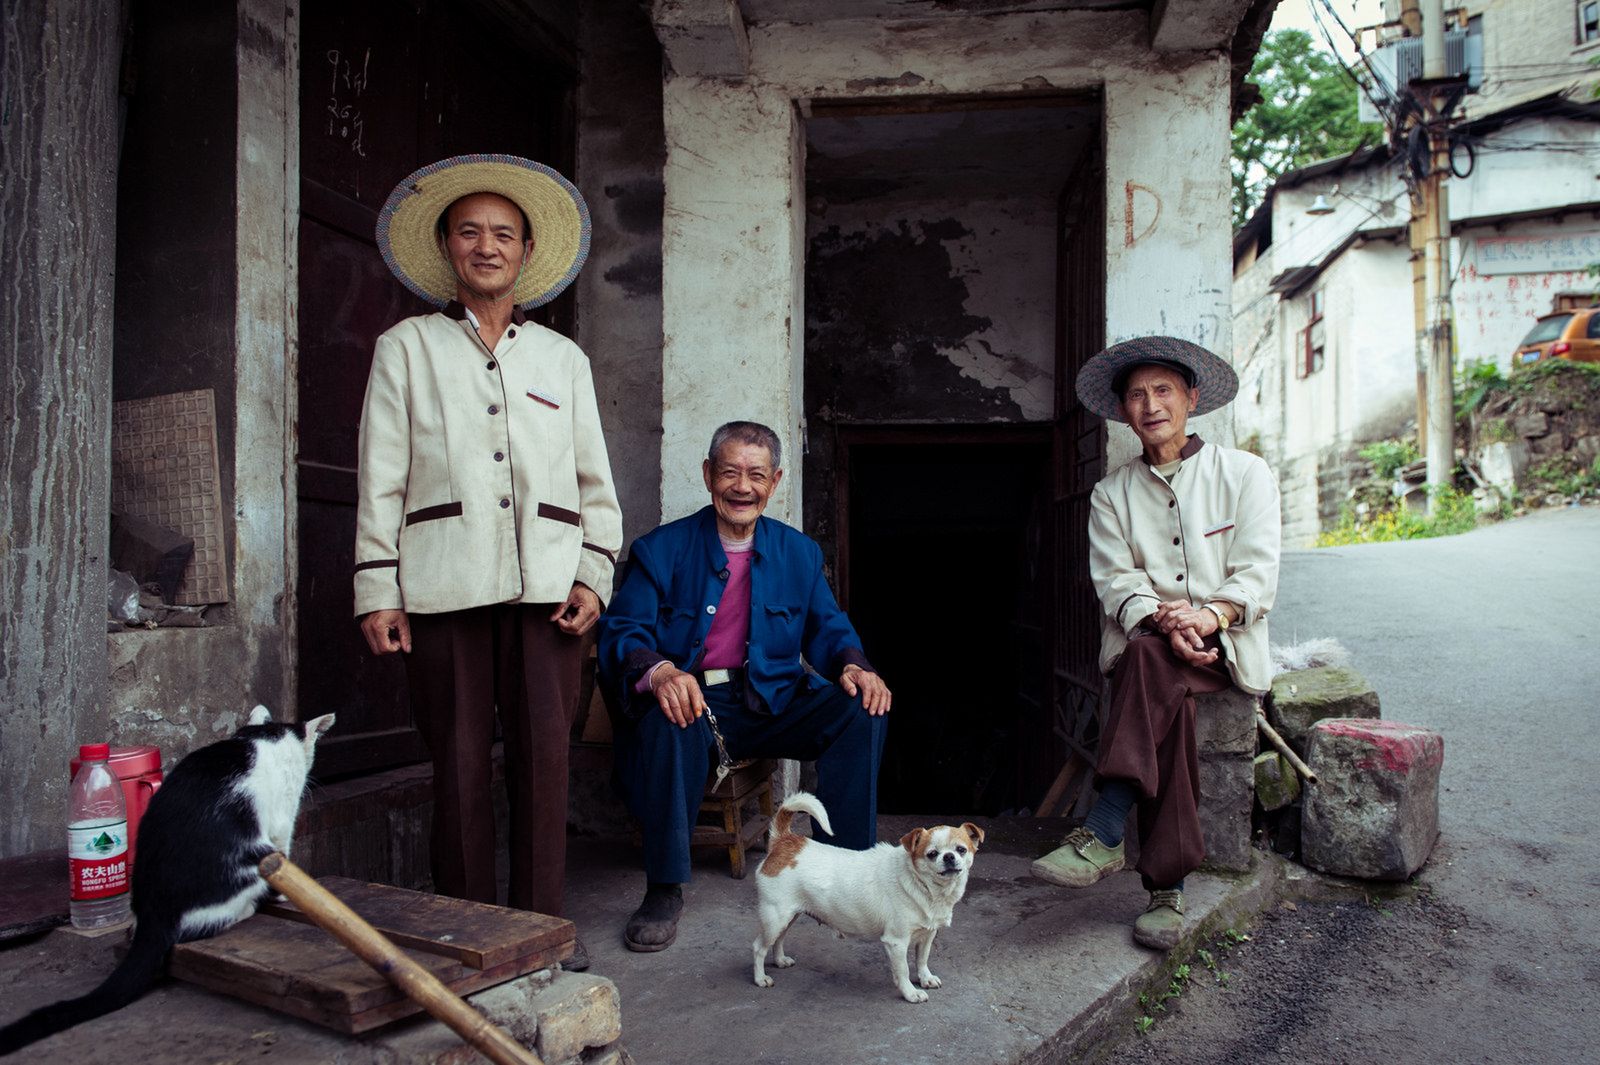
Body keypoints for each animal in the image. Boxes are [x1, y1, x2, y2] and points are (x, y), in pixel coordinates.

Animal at [0, 703, 334, 1055]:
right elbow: (284, 854)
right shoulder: (281, 824)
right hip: (249, 863)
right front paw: (284, 895)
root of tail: (153, 914)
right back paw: (245, 909)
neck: (267, 736)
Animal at [752, 786, 985, 1004]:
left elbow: (922, 959)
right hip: (775, 918)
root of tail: (785, 842)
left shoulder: (927, 934)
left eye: (961, 849)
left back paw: (780, 960)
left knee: (779, 939)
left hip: (789, 916)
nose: (949, 857)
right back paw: (760, 978)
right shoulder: (896, 942)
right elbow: (903, 970)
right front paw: (910, 993)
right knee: (759, 947)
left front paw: (925, 978)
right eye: (932, 854)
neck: (925, 887)